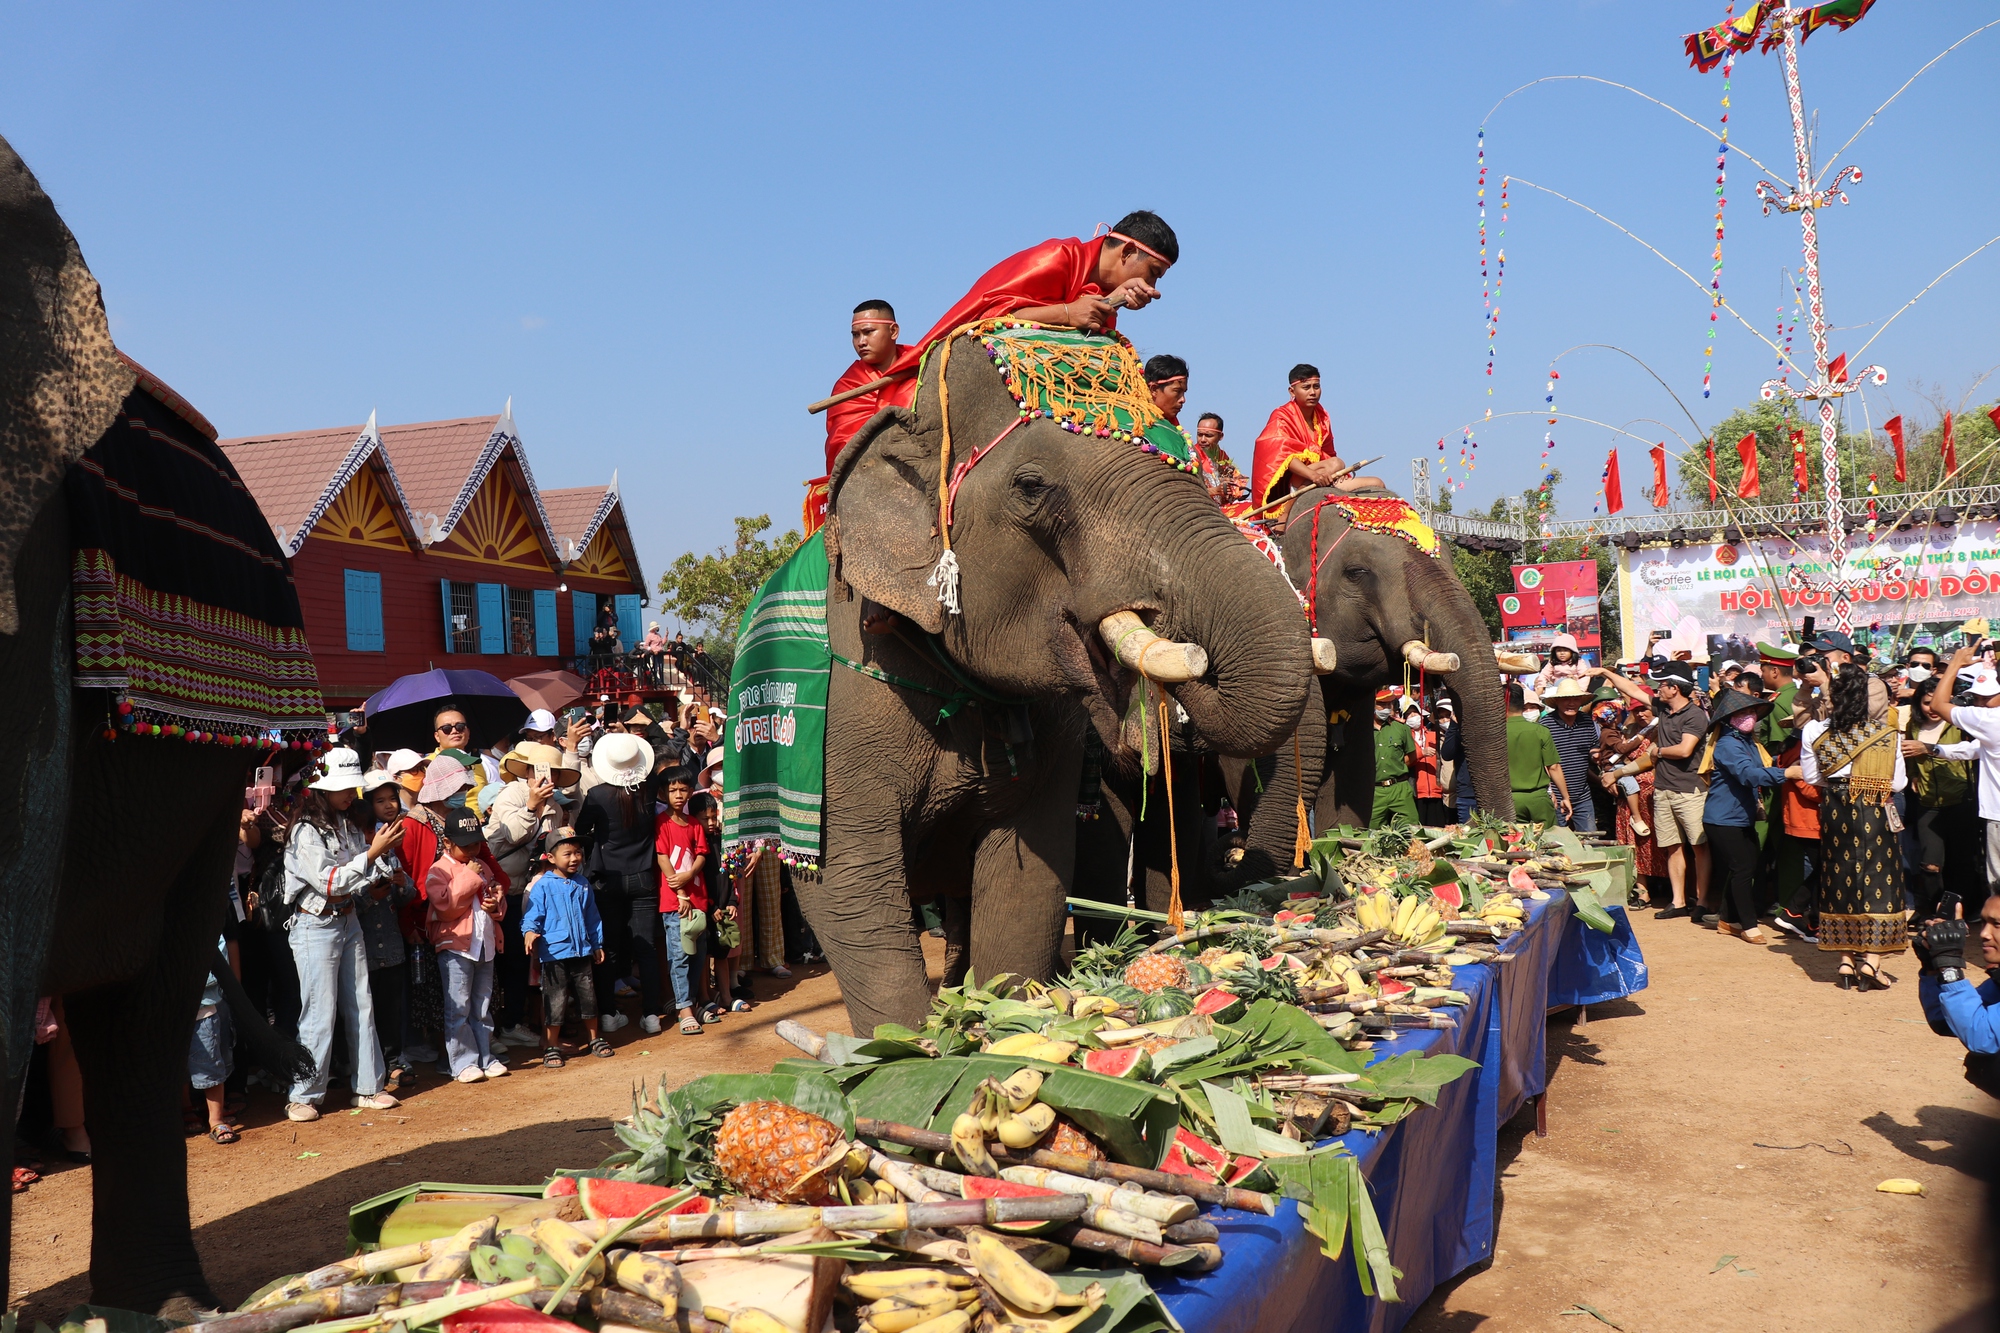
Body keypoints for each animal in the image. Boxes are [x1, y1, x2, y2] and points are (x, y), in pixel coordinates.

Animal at [812, 326, 1312, 1032]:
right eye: (1030, 488)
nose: (1192, 654)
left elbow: (1027, 883)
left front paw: (997, 1022)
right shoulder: (843, 711)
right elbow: (849, 893)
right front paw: (916, 1049)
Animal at [1216, 488, 1512, 880]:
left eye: (1451, 558)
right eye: (1356, 573)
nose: (1496, 838)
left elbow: (1354, 770)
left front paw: (1336, 851)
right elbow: (1245, 767)